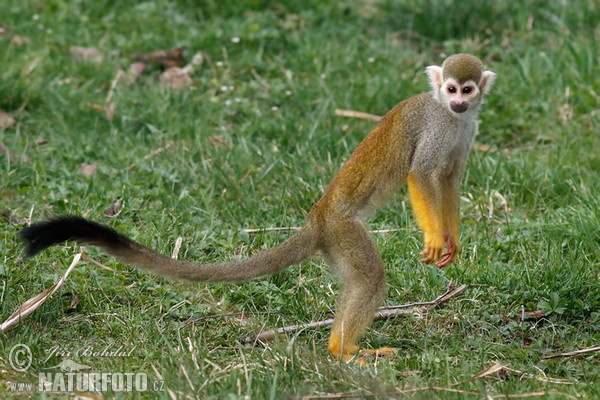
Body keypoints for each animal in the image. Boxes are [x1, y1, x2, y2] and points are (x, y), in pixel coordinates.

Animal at [19, 54, 496, 362]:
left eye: (467, 91)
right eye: (450, 89)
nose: (458, 101)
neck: (451, 117)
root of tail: (317, 219)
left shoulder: (465, 129)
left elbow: (448, 180)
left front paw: (452, 240)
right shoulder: (436, 127)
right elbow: (422, 174)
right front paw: (434, 239)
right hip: (344, 231)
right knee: (370, 278)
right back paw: (343, 352)